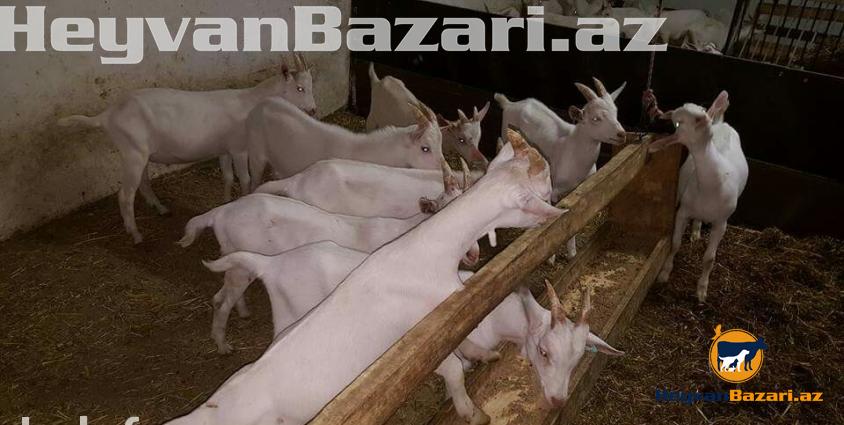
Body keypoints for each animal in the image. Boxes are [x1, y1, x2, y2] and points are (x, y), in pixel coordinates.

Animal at [57, 54, 316, 244]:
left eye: (311, 86)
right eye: (299, 88)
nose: (313, 110)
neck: (251, 103)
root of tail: (108, 115)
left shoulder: (224, 149)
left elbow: (227, 177)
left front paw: (224, 202)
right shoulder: (239, 147)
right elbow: (244, 178)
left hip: (140, 153)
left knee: (143, 182)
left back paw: (161, 209)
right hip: (132, 152)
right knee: (125, 195)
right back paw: (136, 235)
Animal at [162, 129, 565, 425]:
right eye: (542, 183)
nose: (557, 197)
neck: (424, 252)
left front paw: (485, 355)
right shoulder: (422, 334)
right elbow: (452, 367)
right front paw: (472, 410)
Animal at [648, 91, 748, 303]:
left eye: (701, 109)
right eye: (678, 123)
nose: (703, 118)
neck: (712, 184)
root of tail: (720, 122)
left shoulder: (721, 222)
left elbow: (709, 259)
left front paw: (702, 291)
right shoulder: (683, 211)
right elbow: (675, 244)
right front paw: (664, 274)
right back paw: (695, 231)